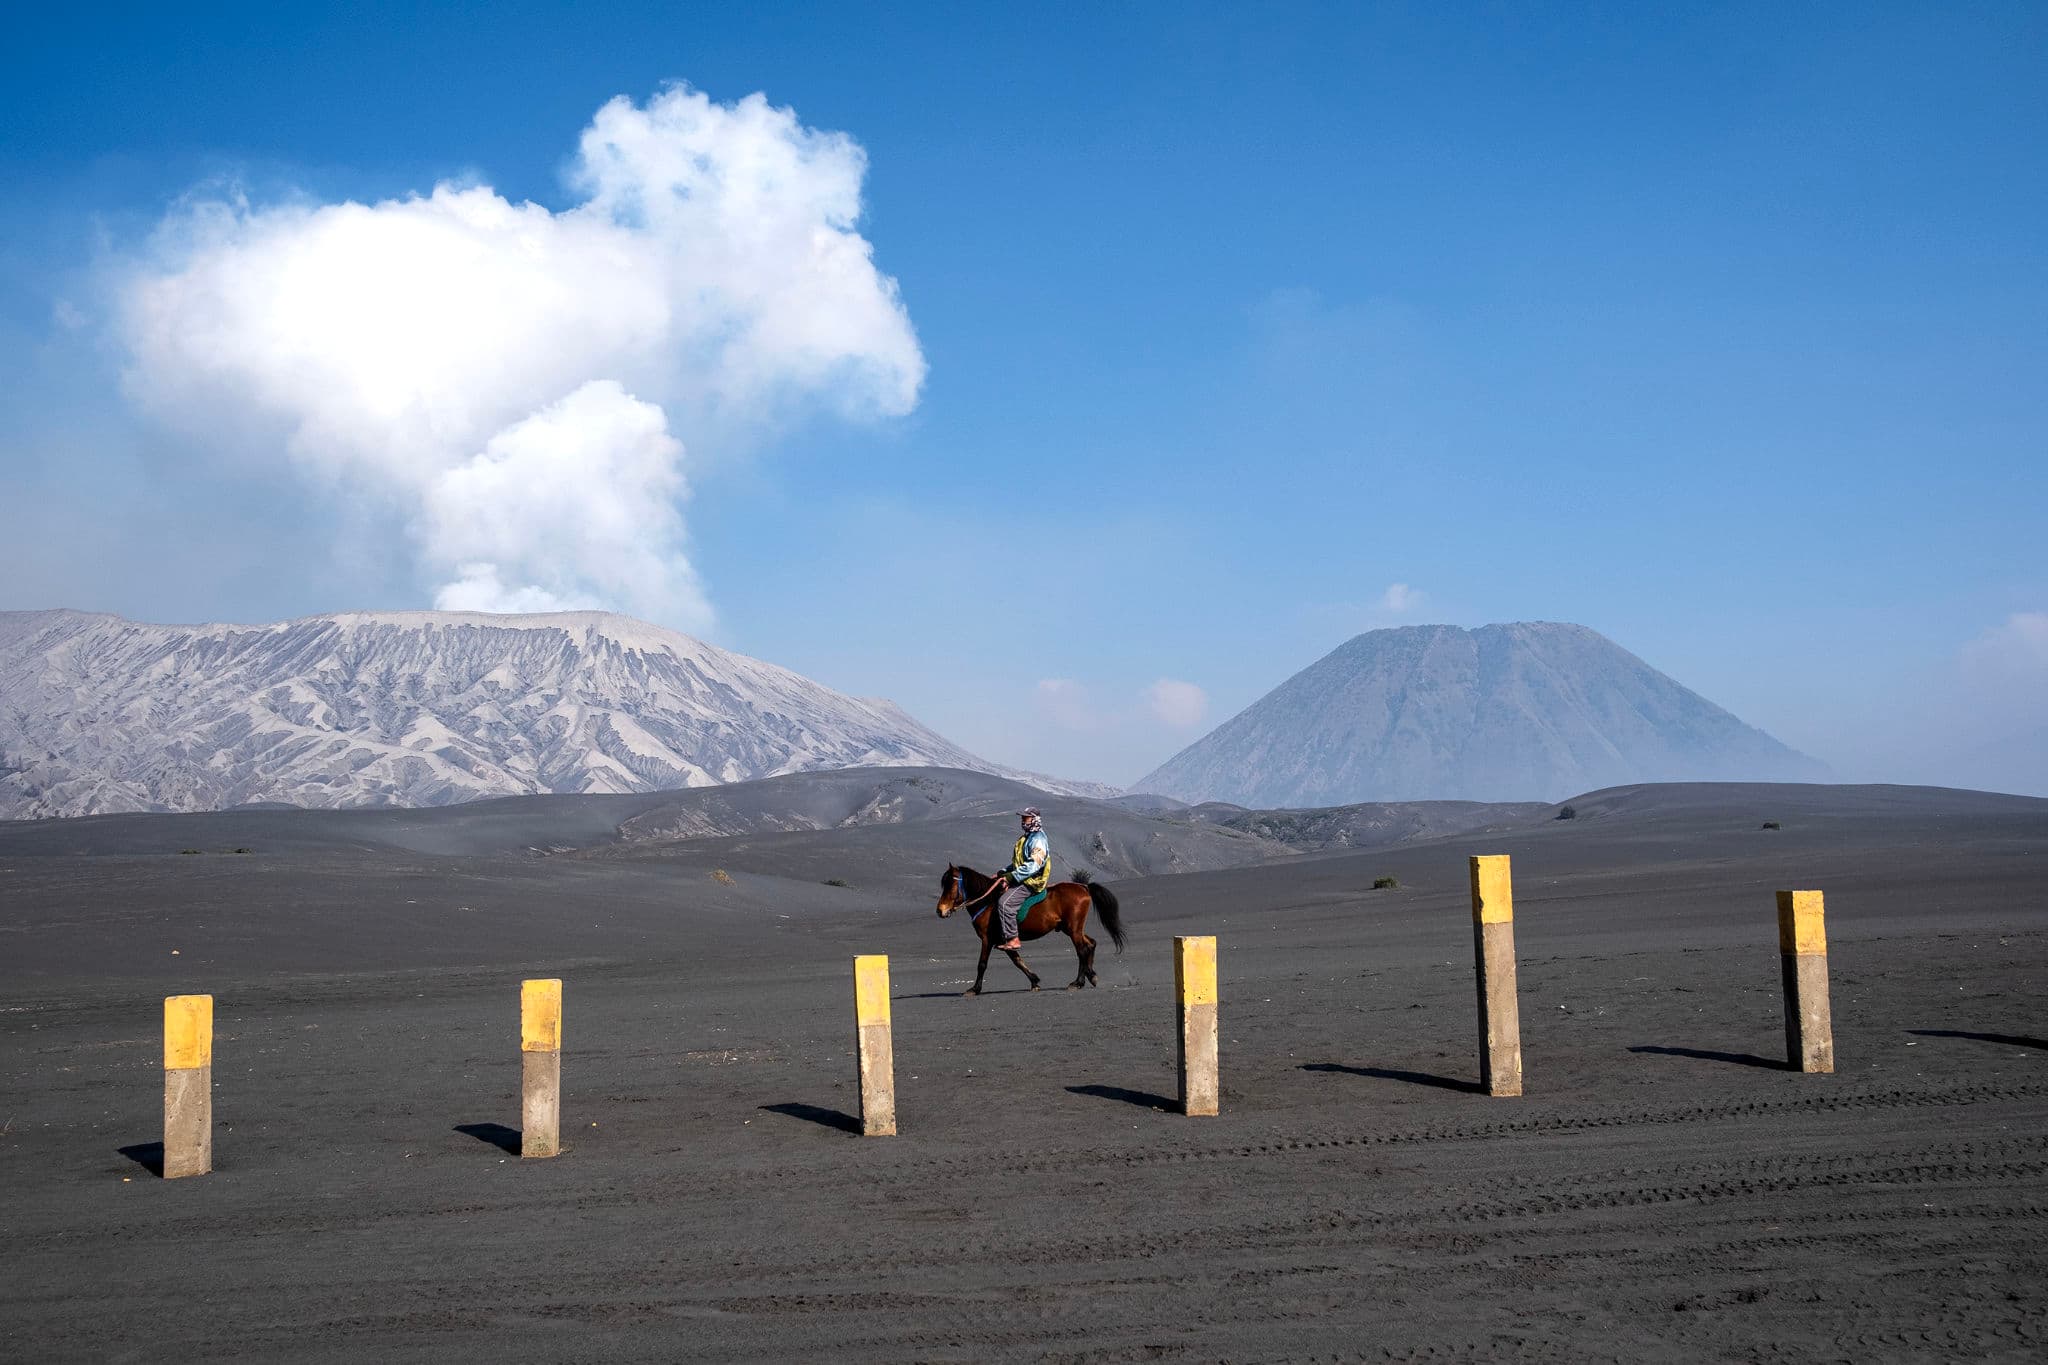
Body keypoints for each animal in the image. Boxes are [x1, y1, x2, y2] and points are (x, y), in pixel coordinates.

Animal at [937, 871, 1130, 998]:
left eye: (950, 886)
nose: (940, 910)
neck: (987, 902)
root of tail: (1083, 887)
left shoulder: (987, 939)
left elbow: (982, 964)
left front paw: (974, 989)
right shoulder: (1004, 941)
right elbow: (1017, 960)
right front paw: (1035, 981)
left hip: (1073, 929)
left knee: (1082, 950)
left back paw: (1078, 982)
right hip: (1071, 929)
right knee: (1091, 944)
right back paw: (1091, 976)